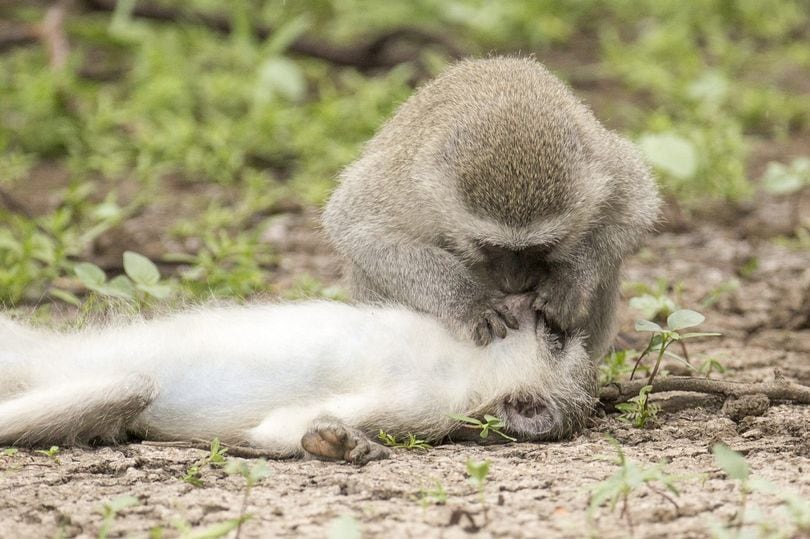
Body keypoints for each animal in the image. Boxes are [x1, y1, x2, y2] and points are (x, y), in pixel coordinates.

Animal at [1, 296, 592, 464]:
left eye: (556, 337)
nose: (536, 306)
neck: (465, 364)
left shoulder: (425, 405)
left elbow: (278, 430)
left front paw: (343, 445)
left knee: (130, 386)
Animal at [322, 56, 656, 358]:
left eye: (544, 247)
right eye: (489, 246)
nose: (515, 284)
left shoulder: (604, 165)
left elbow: (637, 209)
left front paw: (568, 281)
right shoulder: (411, 188)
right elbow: (356, 227)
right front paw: (471, 302)